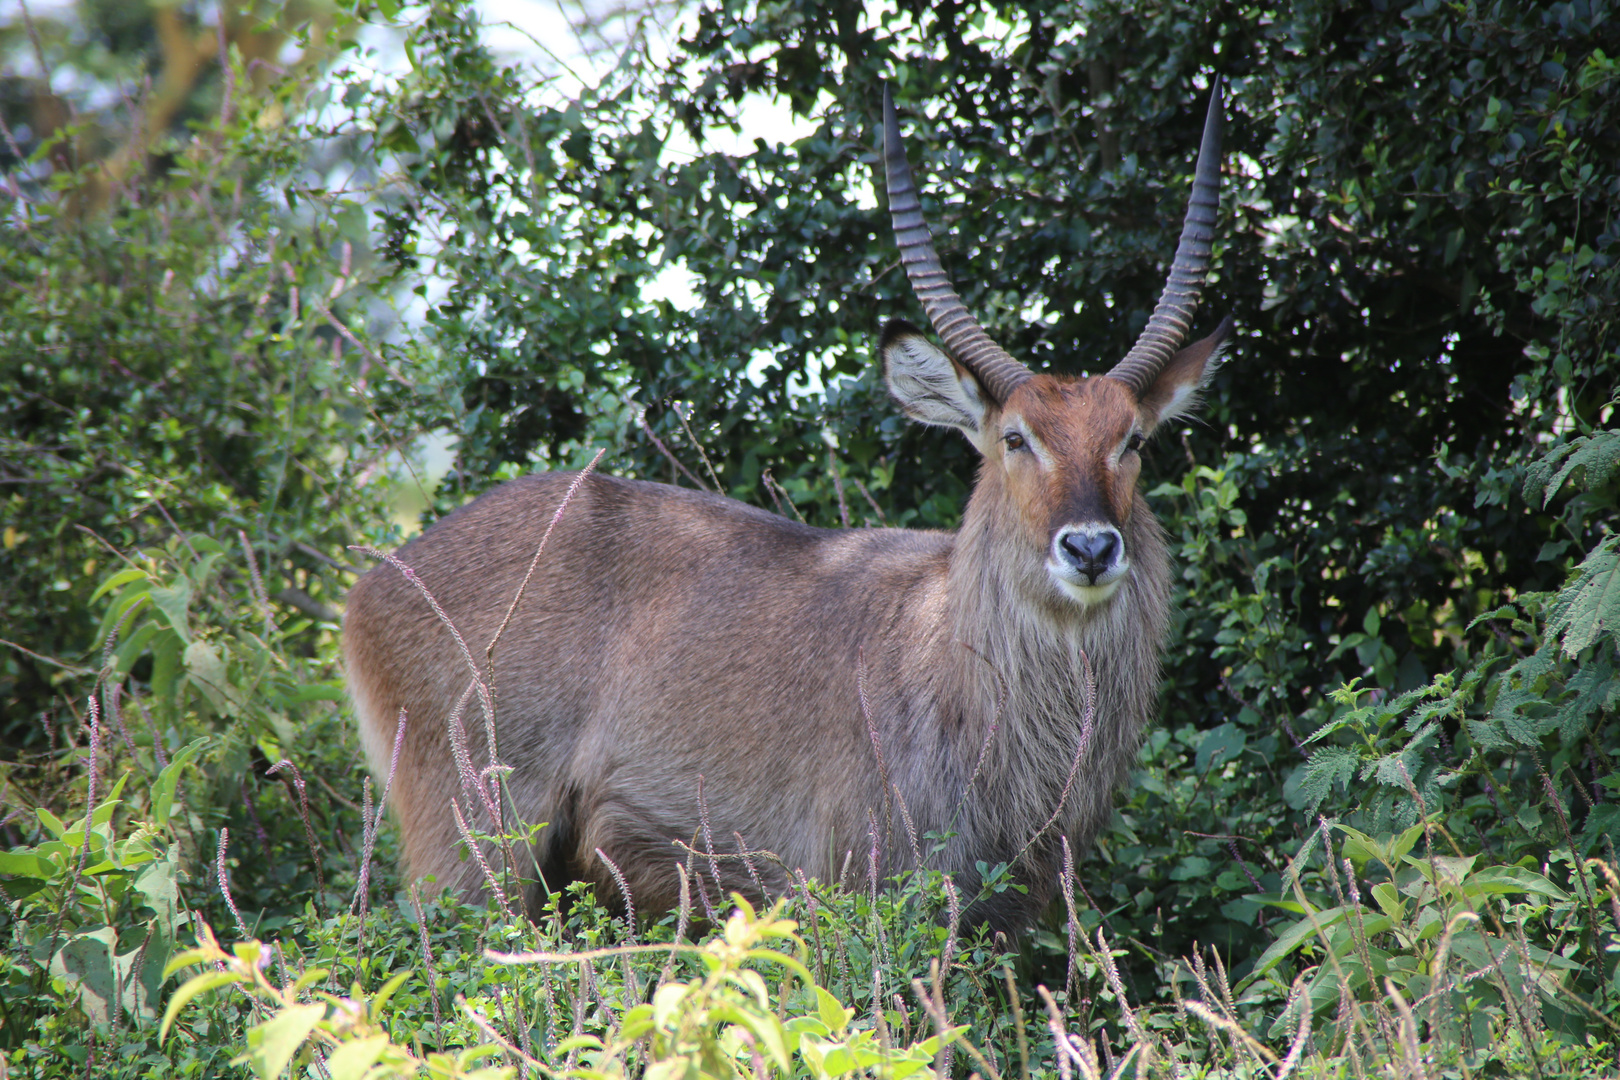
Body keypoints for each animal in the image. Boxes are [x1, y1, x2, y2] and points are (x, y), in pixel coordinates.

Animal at [341, 84, 1224, 932]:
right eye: (1016, 438)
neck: (944, 652)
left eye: (1131, 439)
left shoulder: (1006, 912)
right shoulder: (859, 888)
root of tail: (373, 586)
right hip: (469, 843)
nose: (1090, 549)